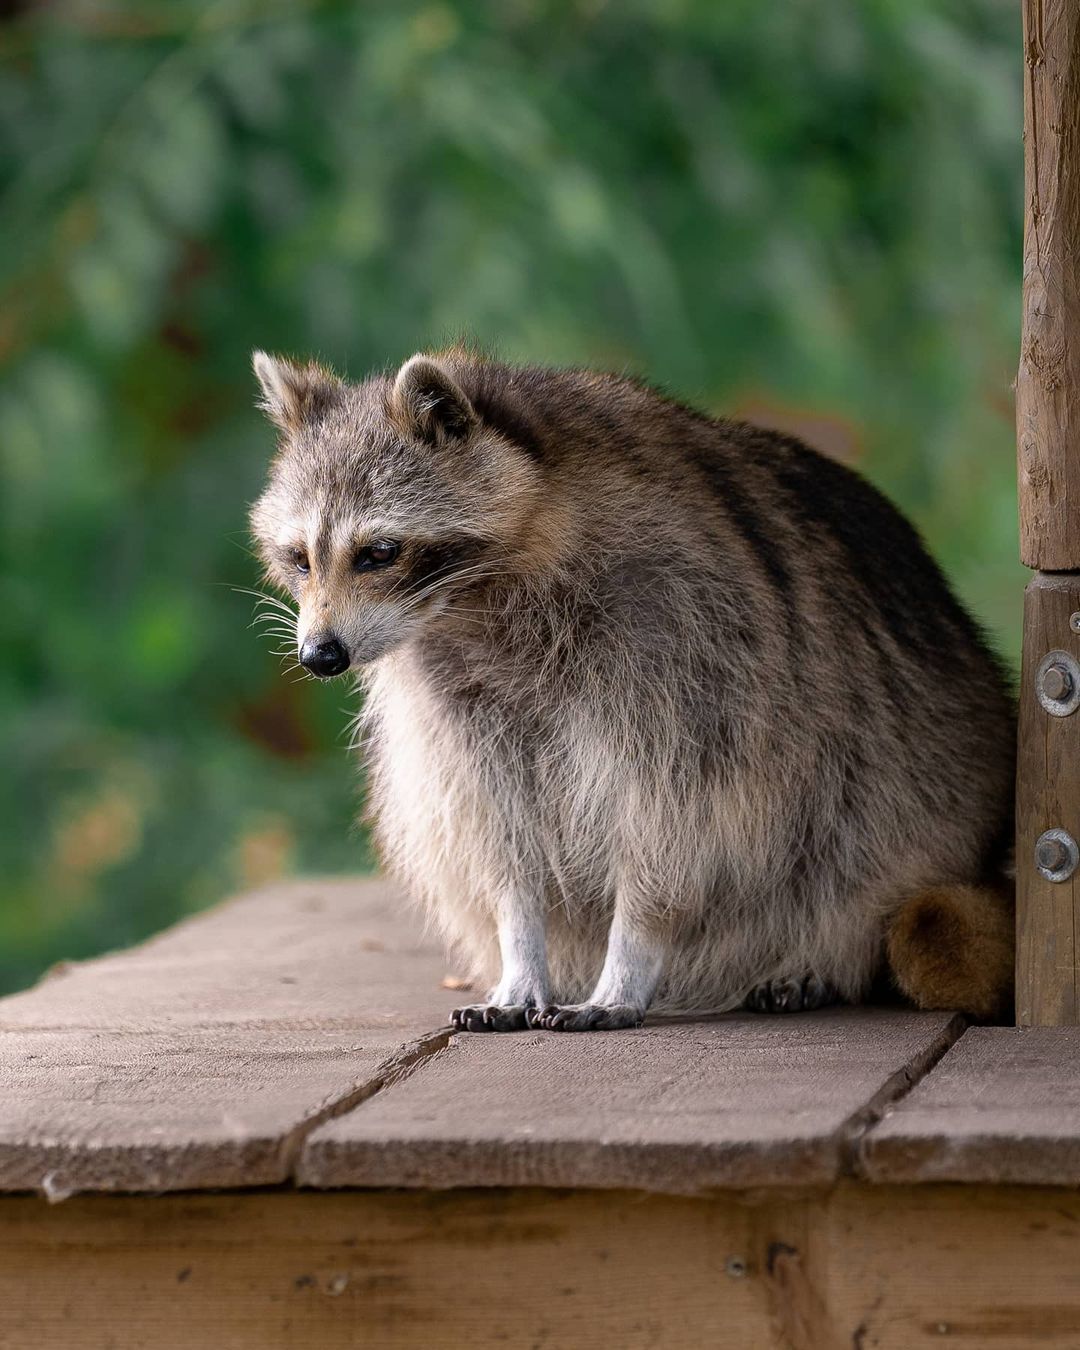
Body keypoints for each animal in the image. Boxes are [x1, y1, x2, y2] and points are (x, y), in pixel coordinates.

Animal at [248, 348, 1015, 1031]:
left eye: (378, 552)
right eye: (300, 557)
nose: (319, 654)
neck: (475, 604)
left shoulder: (684, 648)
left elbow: (673, 827)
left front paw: (631, 957)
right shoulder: (457, 704)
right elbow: (498, 835)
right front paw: (519, 949)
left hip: (916, 778)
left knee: (859, 843)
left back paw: (819, 954)